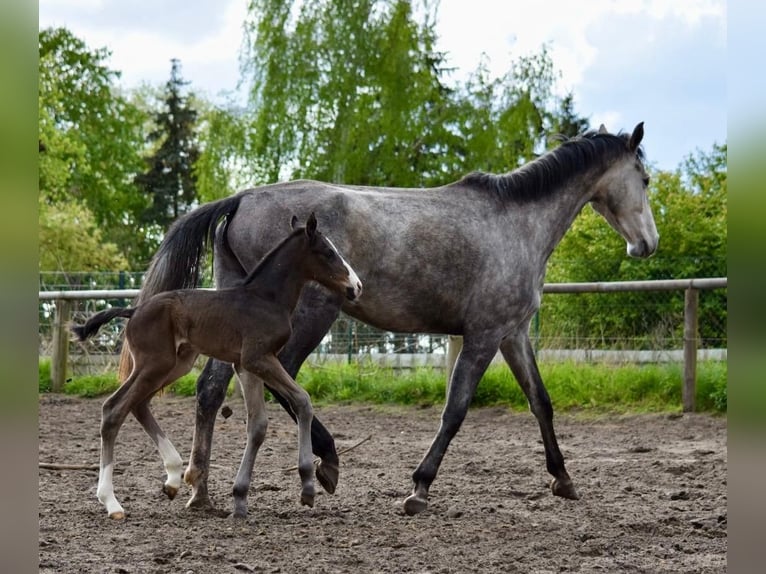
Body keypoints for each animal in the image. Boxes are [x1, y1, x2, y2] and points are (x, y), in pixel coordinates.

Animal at [71, 213, 363, 519]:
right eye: (328, 252)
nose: (356, 287)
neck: (266, 299)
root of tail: (134, 310)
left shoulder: (244, 366)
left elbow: (258, 424)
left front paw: (240, 499)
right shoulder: (258, 358)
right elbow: (302, 400)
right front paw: (307, 485)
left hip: (176, 364)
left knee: (137, 405)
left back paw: (173, 478)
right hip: (155, 364)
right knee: (114, 409)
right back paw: (111, 502)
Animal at [123, 122, 658, 515]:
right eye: (646, 179)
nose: (647, 244)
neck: (517, 224)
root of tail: (241, 199)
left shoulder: (514, 333)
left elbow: (541, 403)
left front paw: (563, 479)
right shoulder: (484, 335)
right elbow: (455, 410)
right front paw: (419, 488)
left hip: (231, 320)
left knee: (211, 389)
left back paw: (200, 490)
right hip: (307, 318)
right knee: (284, 385)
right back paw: (324, 465)